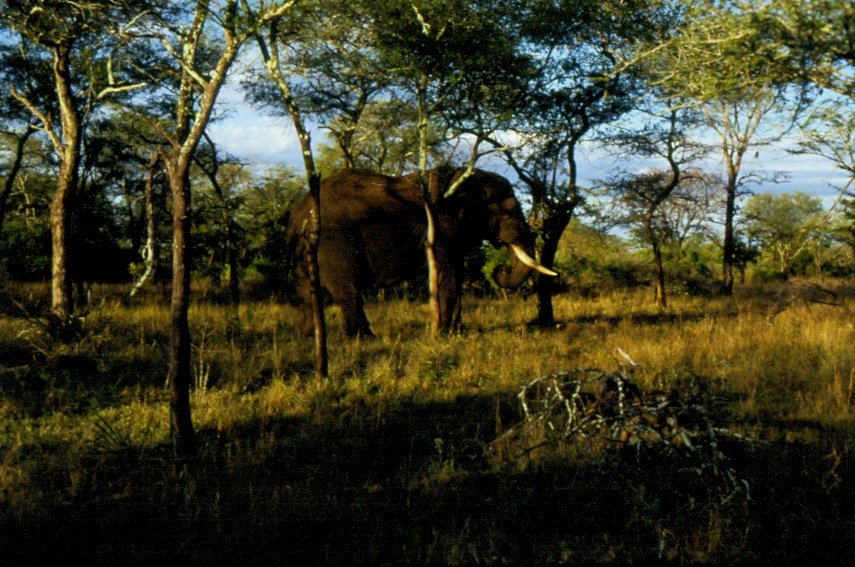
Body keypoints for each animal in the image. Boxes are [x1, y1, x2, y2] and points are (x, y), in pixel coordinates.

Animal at [284, 165, 560, 338]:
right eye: (508, 212)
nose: (500, 269)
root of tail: (298, 213)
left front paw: (458, 332)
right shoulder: (440, 226)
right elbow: (449, 277)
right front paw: (446, 335)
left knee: (307, 292)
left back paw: (306, 335)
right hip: (334, 243)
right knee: (347, 291)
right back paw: (364, 338)